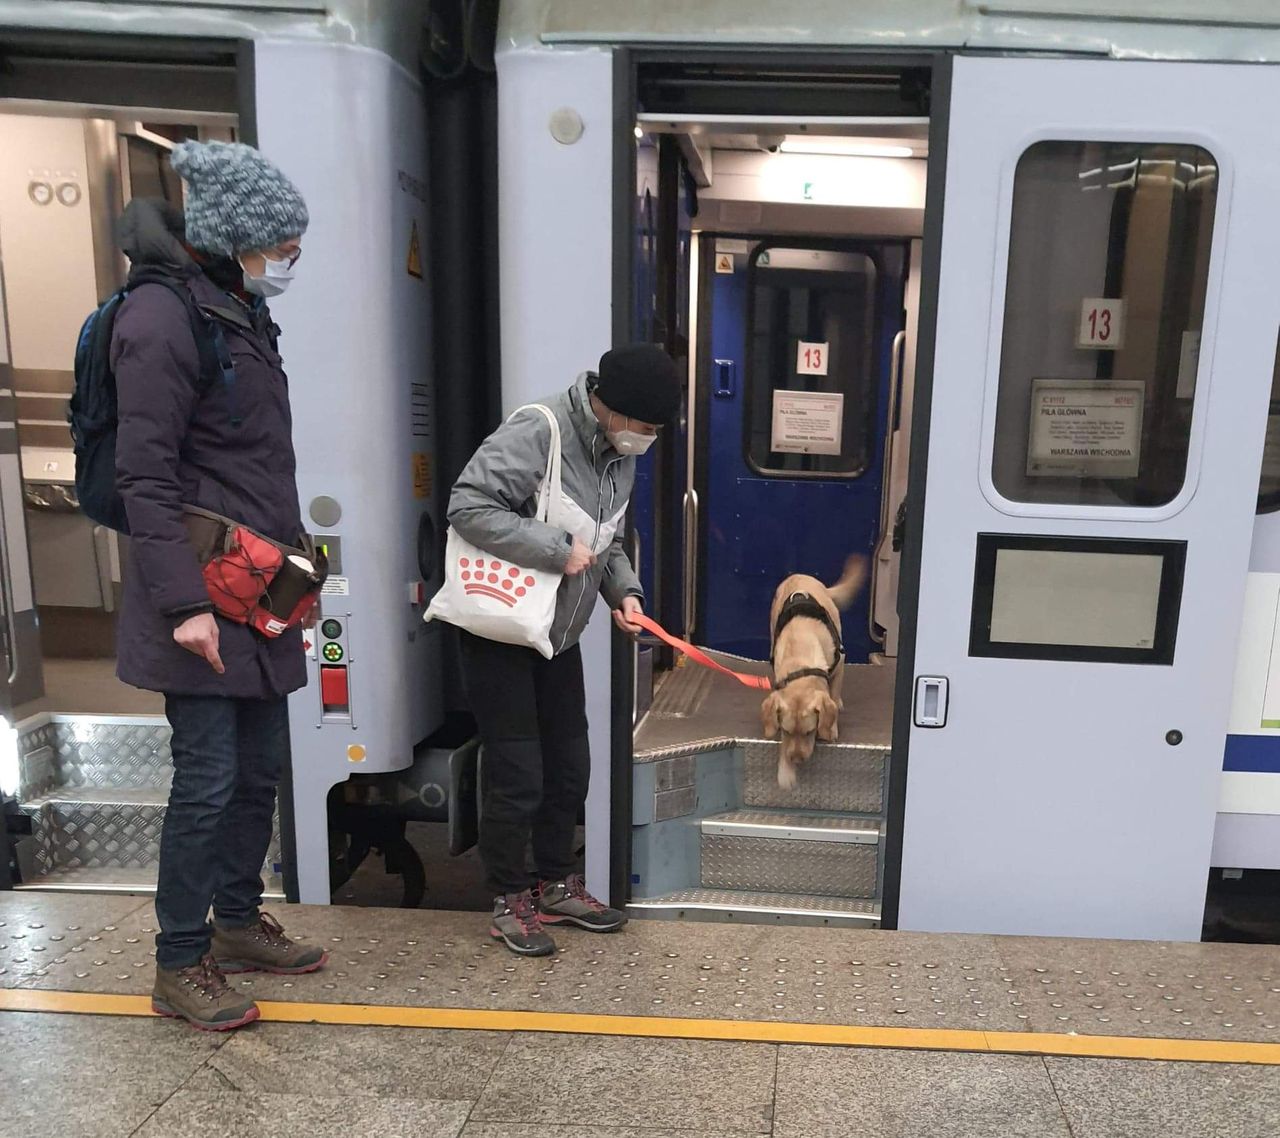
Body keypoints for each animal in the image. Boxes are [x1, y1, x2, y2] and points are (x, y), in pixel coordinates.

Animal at [757, 555, 870, 783]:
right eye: (785, 731)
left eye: (810, 732)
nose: (796, 759)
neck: (800, 664)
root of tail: (799, 575)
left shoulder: (840, 663)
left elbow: (833, 695)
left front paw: (832, 728)